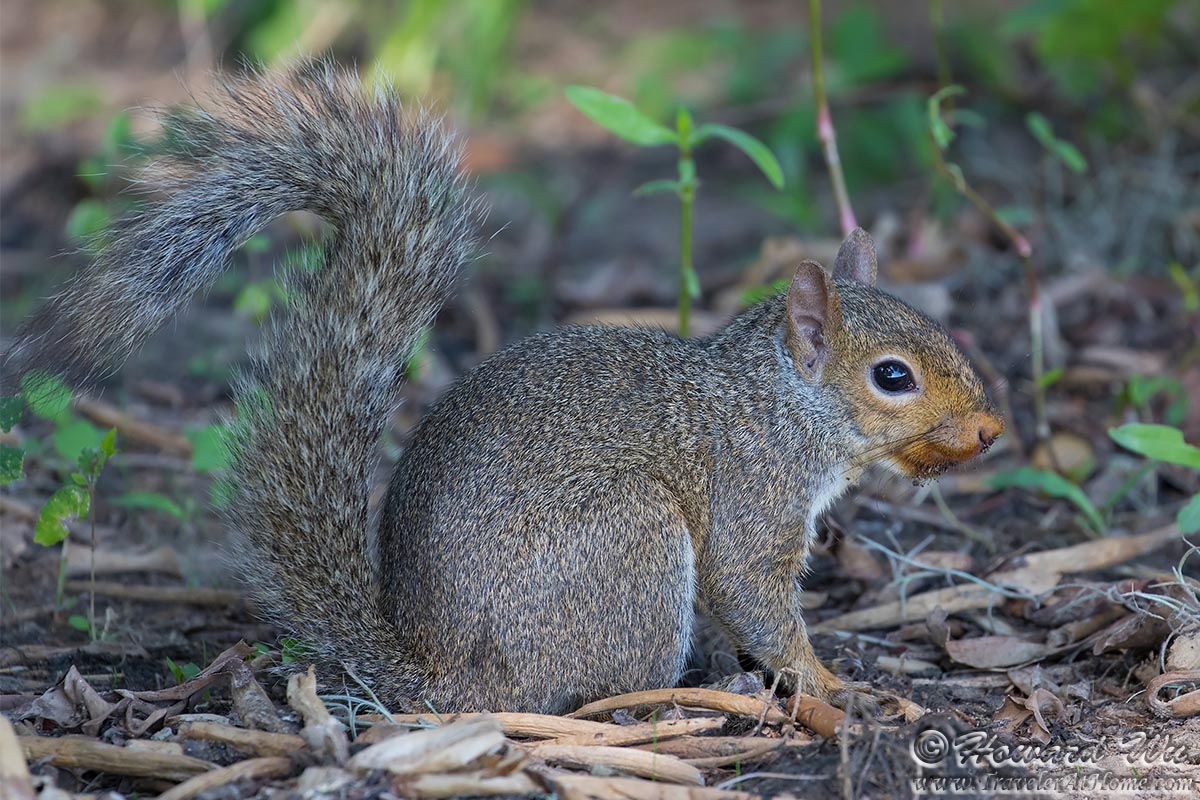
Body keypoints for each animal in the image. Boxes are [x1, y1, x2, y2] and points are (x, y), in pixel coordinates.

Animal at [4, 62, 1003, 715]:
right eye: (892, 377)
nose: (991, 429)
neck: (781, 403)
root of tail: (448, 678)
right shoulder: (751, 498)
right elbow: (756, 599)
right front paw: (830, 684)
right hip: (627, 536)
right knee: (596, 686)